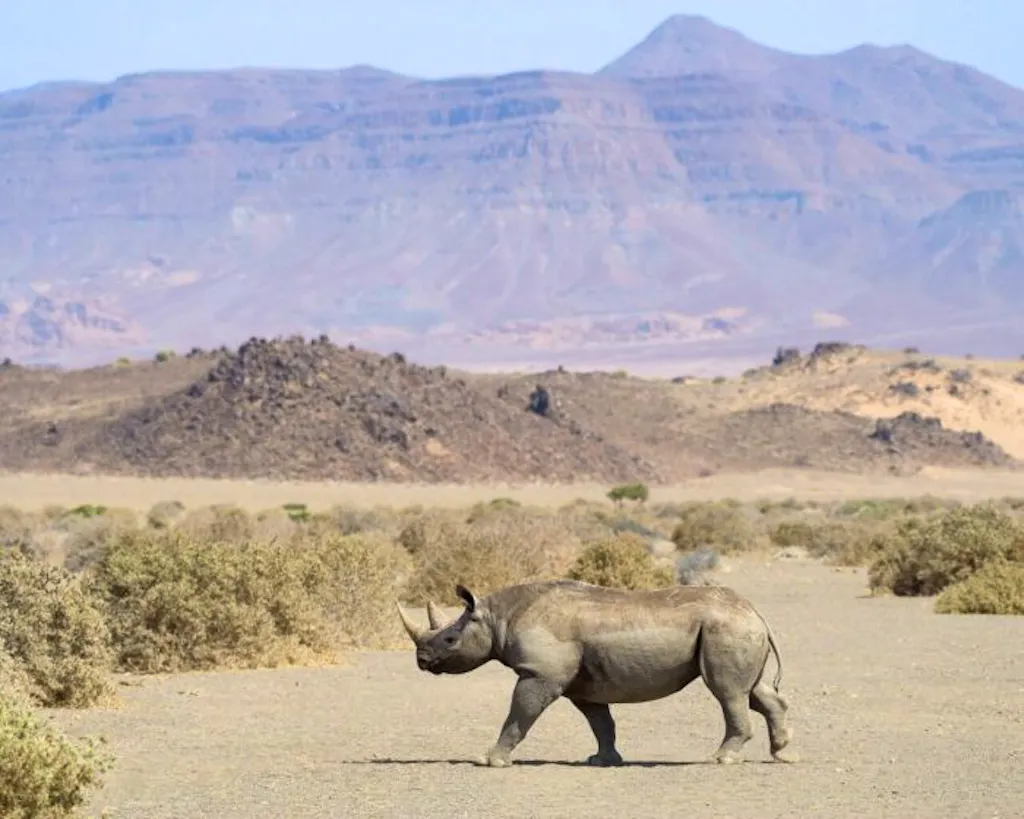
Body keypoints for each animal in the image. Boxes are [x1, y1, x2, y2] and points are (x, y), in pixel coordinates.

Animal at [396, 578, 794, 767]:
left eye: (450, 639)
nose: (422, 659)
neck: (497, 618)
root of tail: (755, 612)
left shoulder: (540, 674)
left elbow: (519, 715)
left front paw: (489, 760)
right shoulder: (582, 686)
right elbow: (601, 723)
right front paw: (602, 760)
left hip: (725, 628)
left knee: (727, 691)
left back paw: (721, 759)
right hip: (734, 628)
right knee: (753, 691)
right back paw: (783, 754)